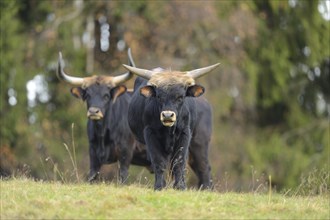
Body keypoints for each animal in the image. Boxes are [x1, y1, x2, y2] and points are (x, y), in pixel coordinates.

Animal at [122, 62, 219, 190]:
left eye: (181, 97)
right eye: (159, 96)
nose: (167, 115)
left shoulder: (185, 133)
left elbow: (179, 162)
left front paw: (180, 187)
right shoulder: (150, 133)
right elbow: (159, 161)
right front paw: (159, 186)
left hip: (199, 142)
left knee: (203, 167)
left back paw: (206, 188)